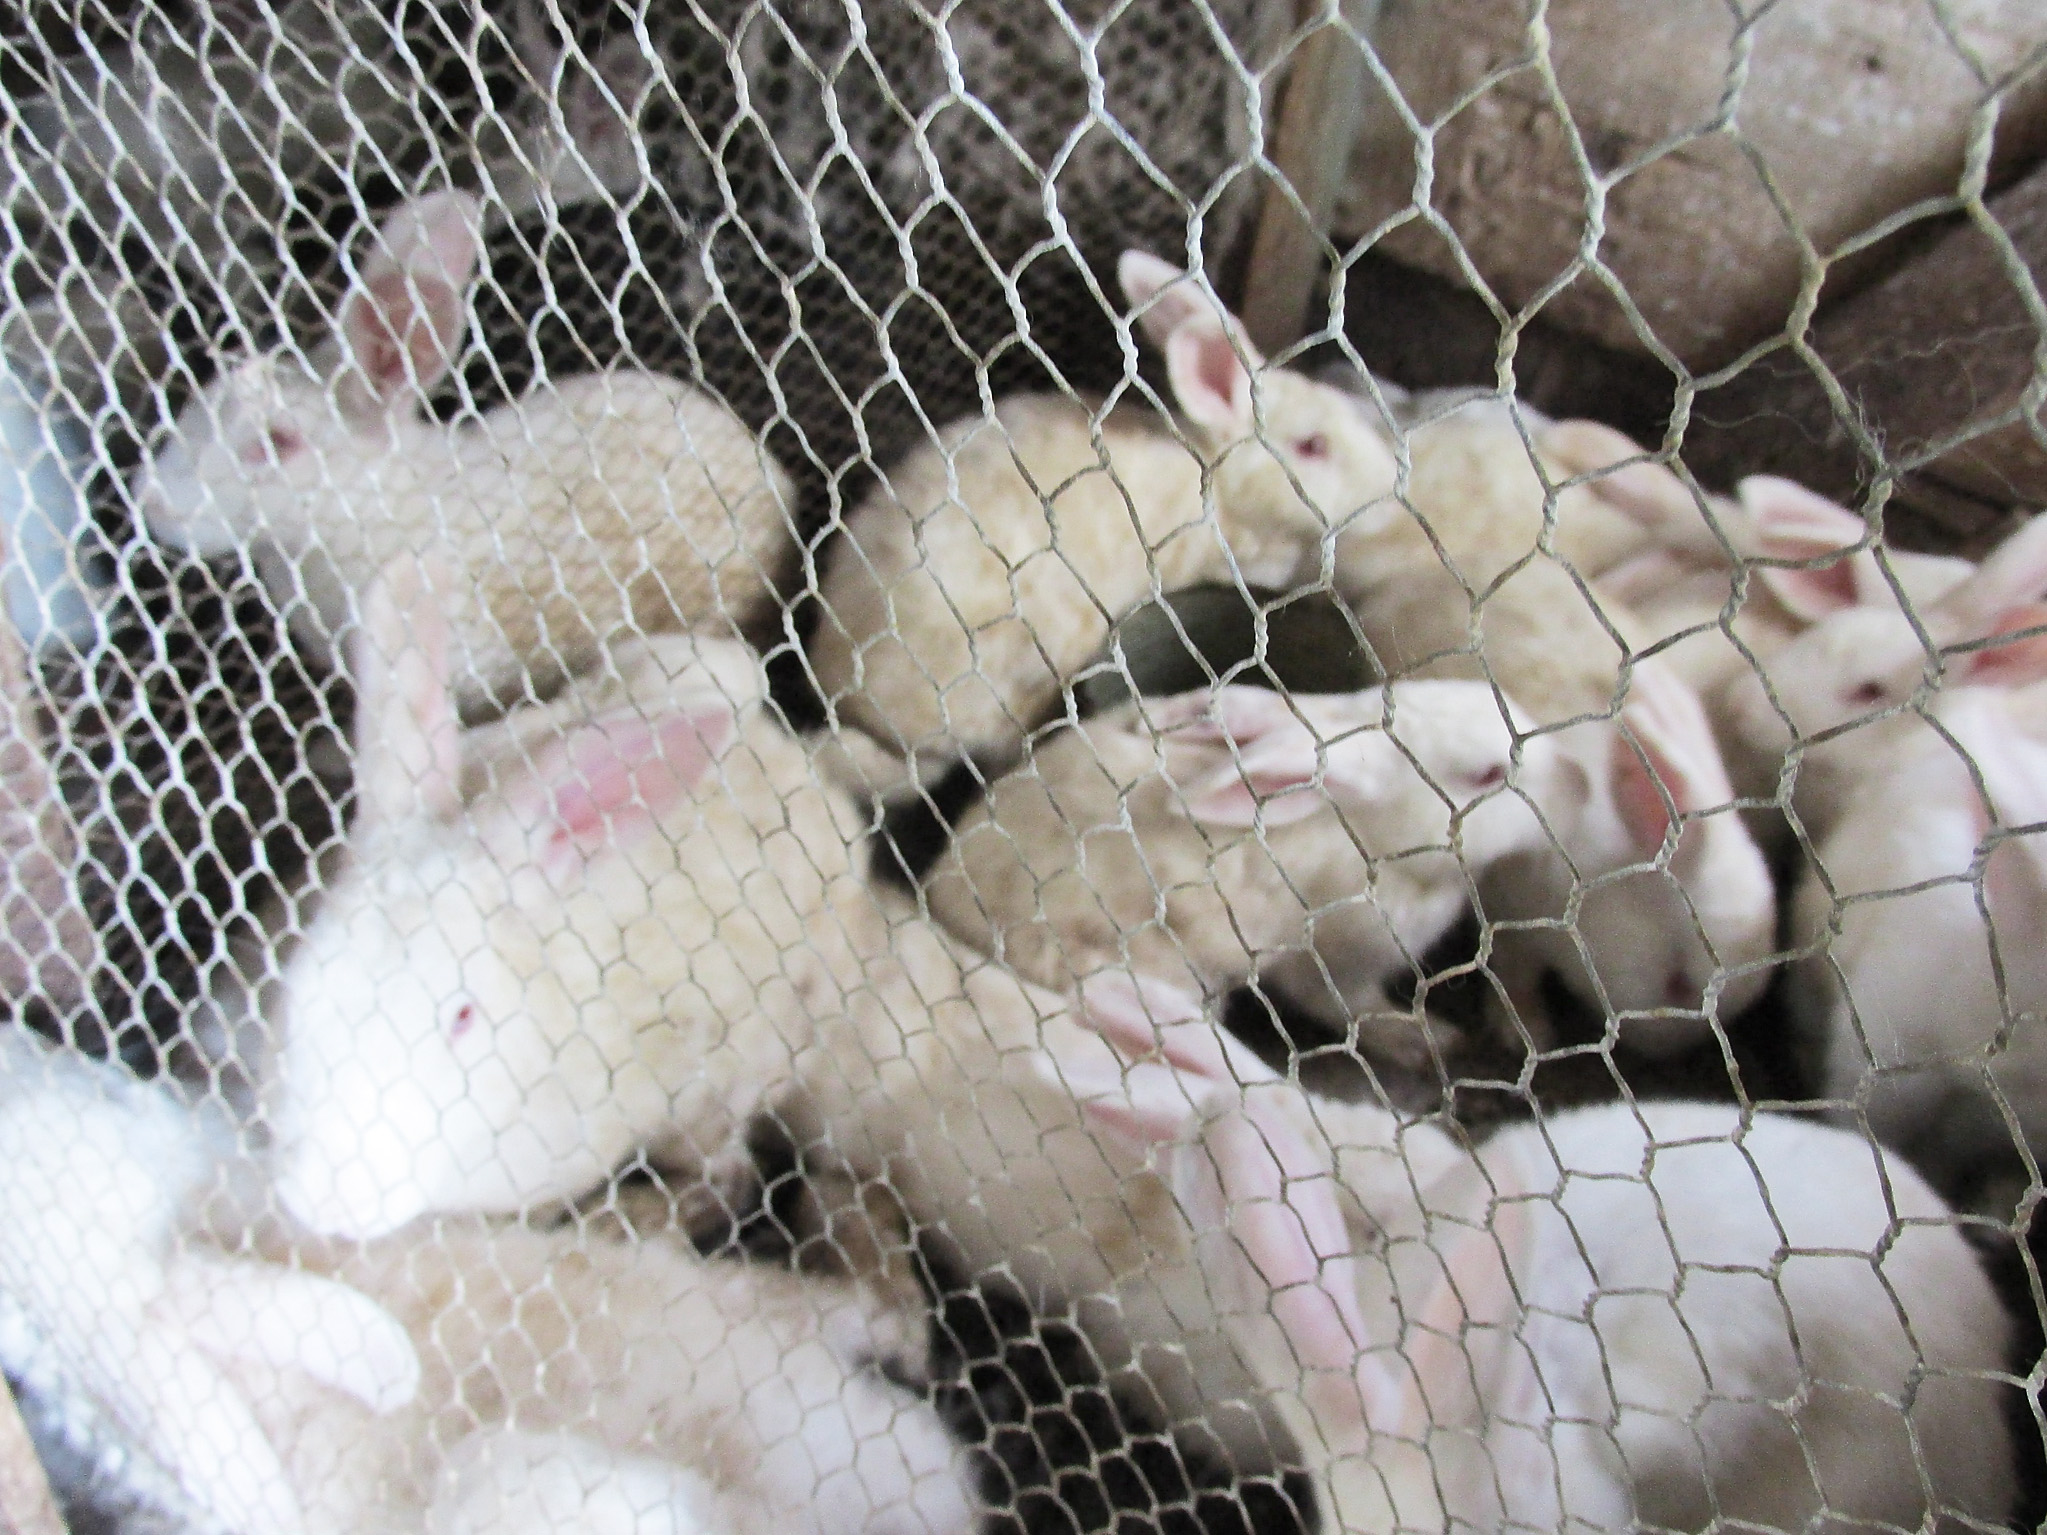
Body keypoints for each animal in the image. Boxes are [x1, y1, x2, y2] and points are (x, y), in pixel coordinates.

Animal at [921, 679, 1570, 1065]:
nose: (1574, 778)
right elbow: (1348, 1007)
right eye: (1488, 776)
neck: (1375, 842)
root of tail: (939, 887)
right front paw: (1428, 1039)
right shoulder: (1335, 963)